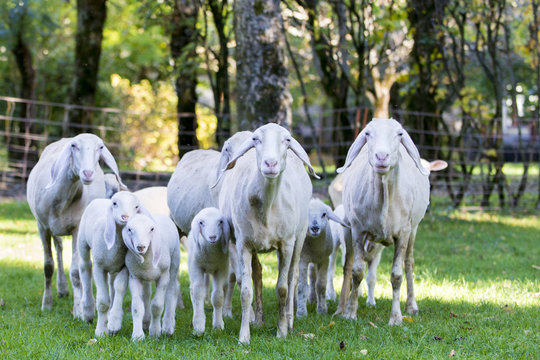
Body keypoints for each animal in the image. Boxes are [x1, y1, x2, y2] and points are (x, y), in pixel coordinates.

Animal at [26, 133, 124, 316]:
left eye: (100, 147)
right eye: (74, 146)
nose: (88, 173)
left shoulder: (77, 229)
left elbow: (76, 272)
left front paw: (78, 309)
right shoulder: (42, 227)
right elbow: (48, 266)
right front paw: (46, 304)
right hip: (52, 228)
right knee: (58, 248)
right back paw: (62, 289)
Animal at [78, 193, 144, 336]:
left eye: (136, 206)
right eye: (115, 203)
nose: (125, 217)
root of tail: (100, 199)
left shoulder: (124, 267)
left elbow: (119, 288)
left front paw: (114, 323)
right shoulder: (99, 267)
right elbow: (103, 301)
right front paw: (100, 331)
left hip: (114, 268)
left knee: (112, 285)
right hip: (82, 242)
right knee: (85, 267)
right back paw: (88, 312)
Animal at [188, 207, 230, 336]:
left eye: (220, 222)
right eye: (201, 222)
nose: (212, 237)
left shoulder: (221, 269)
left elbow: (218, 296)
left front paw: (218, 325)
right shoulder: (196, 267)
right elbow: (198, 293)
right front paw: (199, 326)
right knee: (193, 291)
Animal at [214, 123, 318, 344]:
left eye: (287, 140)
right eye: (256, 140)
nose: (270, 163)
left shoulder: (286, 244)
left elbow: (282, 288)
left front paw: (282, 331)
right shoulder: (243, 243)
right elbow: (246, 291)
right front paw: (244, 336)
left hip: (300, 235)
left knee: (293, 277)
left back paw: (290, 320)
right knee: (258, 274)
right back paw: (259, 320)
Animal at [334, 119, 430, 326]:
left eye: (399, 134)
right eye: (367, 133)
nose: (381, 156)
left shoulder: (403, 232)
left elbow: (397, 275)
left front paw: (396, 317)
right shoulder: (358, 229)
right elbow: (357, 271)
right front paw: (350, 312)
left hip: (414, 229)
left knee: (409, 262)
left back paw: (412, 305)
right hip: (347, 225)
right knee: (347, 266)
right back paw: (341, 308)